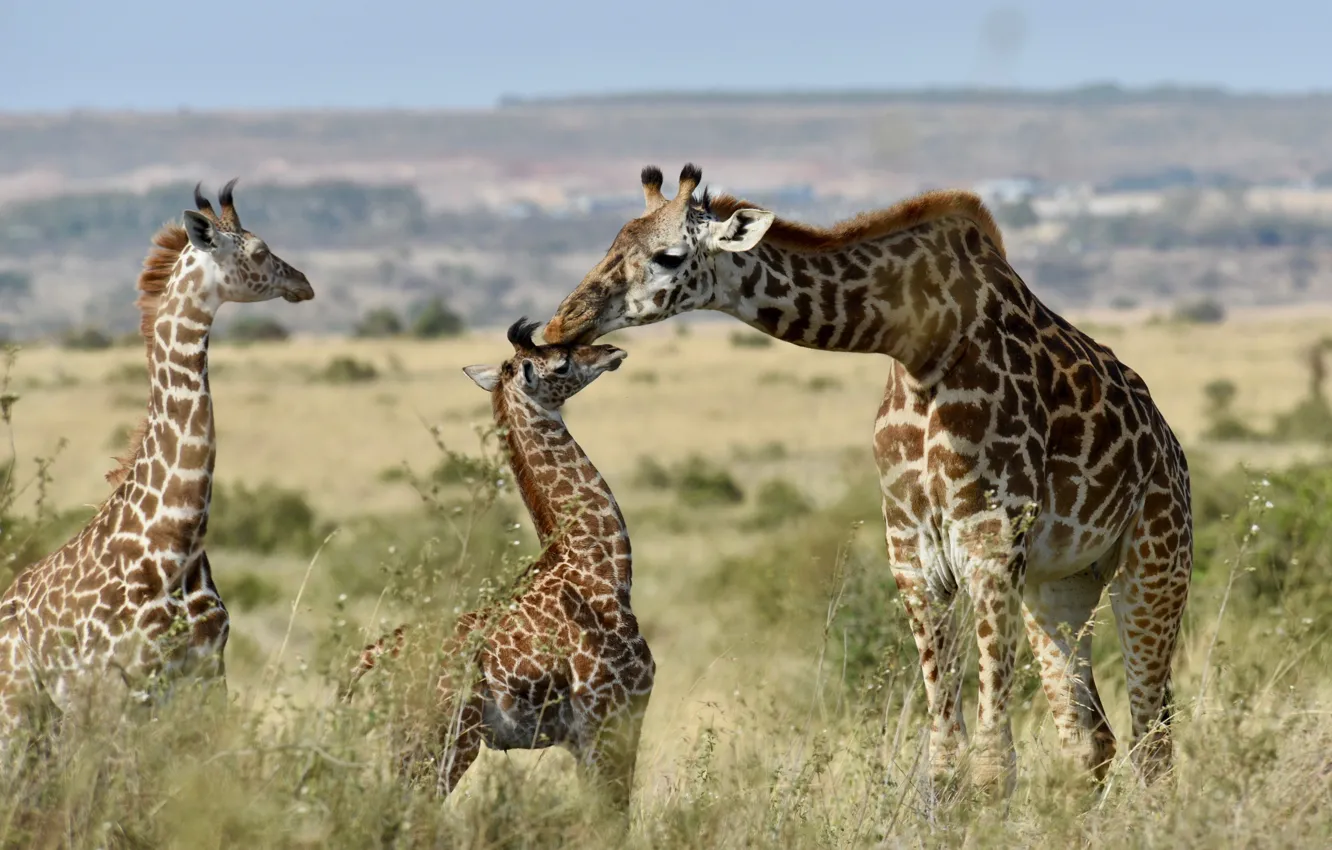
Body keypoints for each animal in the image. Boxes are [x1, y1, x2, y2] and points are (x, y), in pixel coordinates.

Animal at [0, 181, 313, 740]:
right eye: (259, 251)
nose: (303, 282)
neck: (176, 537)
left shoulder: (207, 672)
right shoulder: (117, 686)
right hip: (19, 708)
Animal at [346, 319, 652, 810]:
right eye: (560, 361)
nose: (611, 350)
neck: (603, 573)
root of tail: (376, 655)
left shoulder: (582, 737)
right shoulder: (613, 715)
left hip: (409, 740)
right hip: (449, 737)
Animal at [543, 165, 1198, 799]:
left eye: (669, 256)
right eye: (613, 241)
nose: (559, 324)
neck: (922, 343)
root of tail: (1171, 449)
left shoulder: (989, 546)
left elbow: (992, 766)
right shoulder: (913, 557)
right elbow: (944, 763)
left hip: (1154, 563)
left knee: (1153, 739)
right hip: (1059, 584)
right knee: (1093, 741)